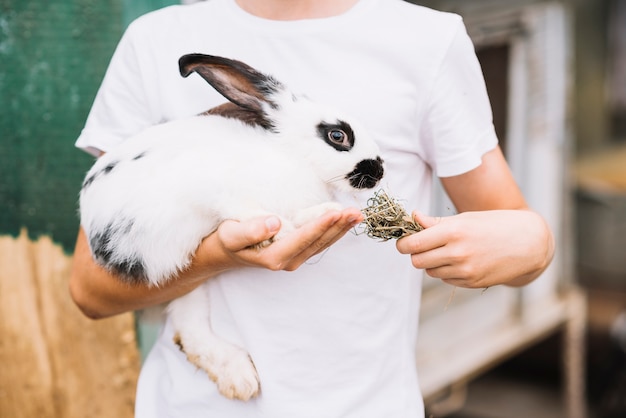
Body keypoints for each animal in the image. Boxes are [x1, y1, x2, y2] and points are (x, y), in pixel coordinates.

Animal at [78, 54, 380, 400]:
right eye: (337, 136)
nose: (379, 171)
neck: (294, 158)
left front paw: (324, 212)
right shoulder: (213, 188)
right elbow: (239, 206)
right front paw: (280, 233)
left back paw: (237, 378)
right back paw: (241, 379)